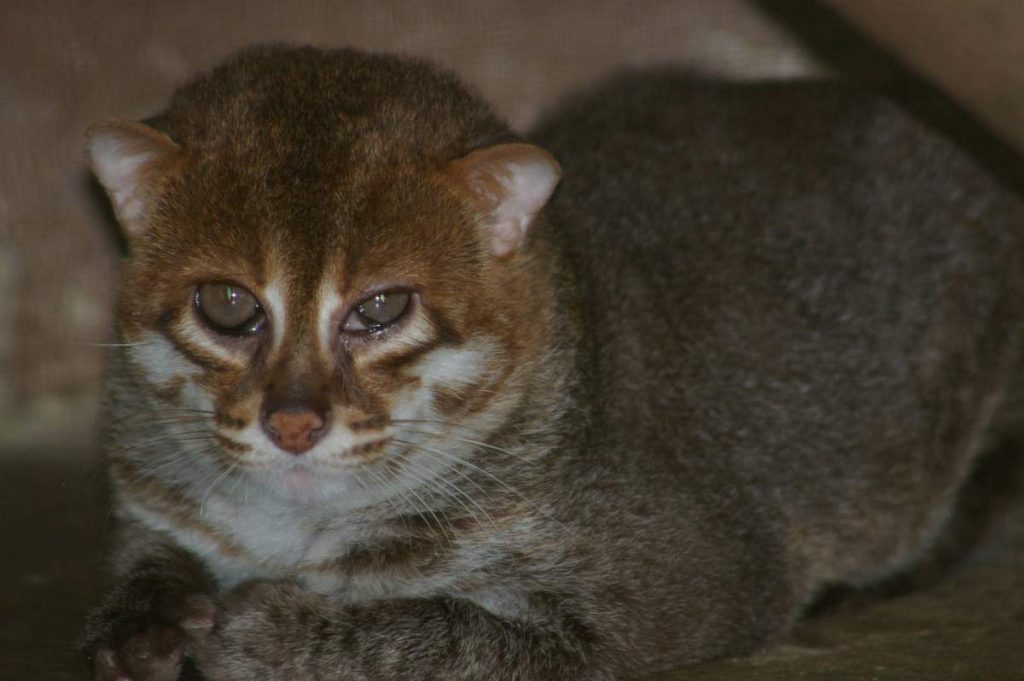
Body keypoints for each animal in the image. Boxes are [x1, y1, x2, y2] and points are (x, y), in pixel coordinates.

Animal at [81, 45, 1024, 675]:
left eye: (382, 307)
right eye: (226, 303)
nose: (293, 421)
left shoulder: (680, 580)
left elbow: (452, 630)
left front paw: (272, 631)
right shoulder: (147, 499)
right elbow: (144, 559)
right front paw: (141, 622)